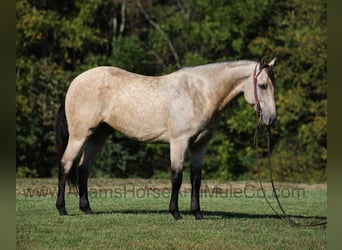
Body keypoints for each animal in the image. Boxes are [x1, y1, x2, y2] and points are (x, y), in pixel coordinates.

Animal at [54, 56, 276, 219]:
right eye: (262, 85)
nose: (271, 118)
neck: (200, 93)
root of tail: (75, 82)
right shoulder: (179, 142)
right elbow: (176, 177)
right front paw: (176, 213)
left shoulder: (200, 145)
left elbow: (196, 179)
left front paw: (197, 213)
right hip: (80, 135)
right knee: (65, 165)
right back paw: (62, 209)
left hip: (97, 136)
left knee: (83, 169)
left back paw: (87, 209)